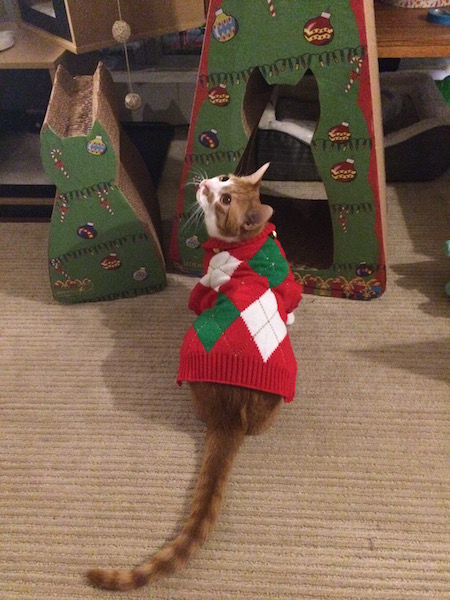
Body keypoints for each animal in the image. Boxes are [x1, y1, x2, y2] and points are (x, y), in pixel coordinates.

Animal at [87, 163, 302, 592]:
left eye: (225, 199)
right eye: (225, 179)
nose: (205, 183)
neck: (249, 243)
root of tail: (231, 413)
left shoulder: (207, 286)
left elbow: (198, 296)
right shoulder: (287, 284)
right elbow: (289, 304)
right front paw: (290, 319)